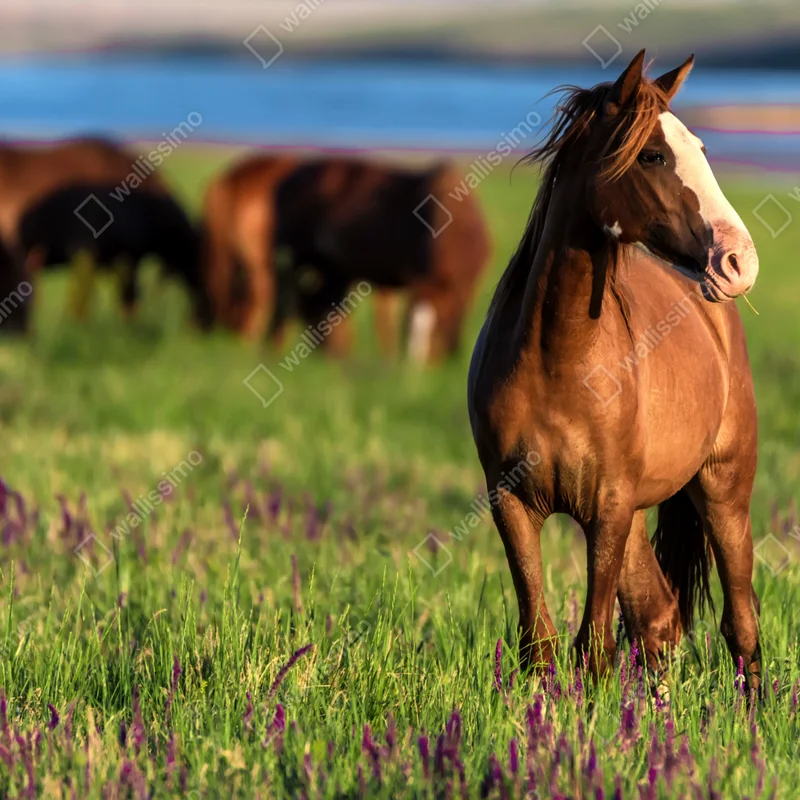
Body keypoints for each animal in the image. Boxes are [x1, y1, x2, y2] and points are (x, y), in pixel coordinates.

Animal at [272, 157, 492, 362]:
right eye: (407, 325)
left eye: (439, 325)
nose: (415, 372)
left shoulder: (466, 288)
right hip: (294, 261)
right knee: (286, 304)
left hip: (330, 271)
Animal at [467, 51, 761, 689]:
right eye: (652, 155)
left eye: (702, 148)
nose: (738, 261)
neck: (559, 360)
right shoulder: (514, 503)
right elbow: (541, 644)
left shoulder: (608, 508)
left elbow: (593, 648)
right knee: (660, 618)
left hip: (723, 492)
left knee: (740, 625)